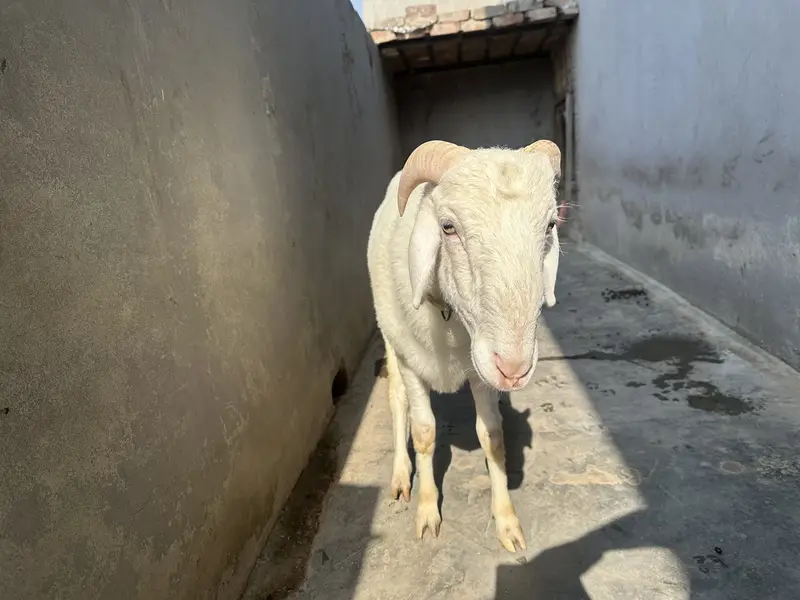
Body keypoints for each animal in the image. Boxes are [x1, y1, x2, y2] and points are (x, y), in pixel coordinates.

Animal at [366, 139, 562, 553]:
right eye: (448, 227)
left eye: (550, 225)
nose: (514, 368)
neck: (448, 318)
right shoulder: (412, 363)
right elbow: (424, 433)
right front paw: (427, 512)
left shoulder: (482, 371)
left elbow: (492, 437)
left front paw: (506, 521)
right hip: (391, 339)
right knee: (397, 401)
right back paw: (401, 475)